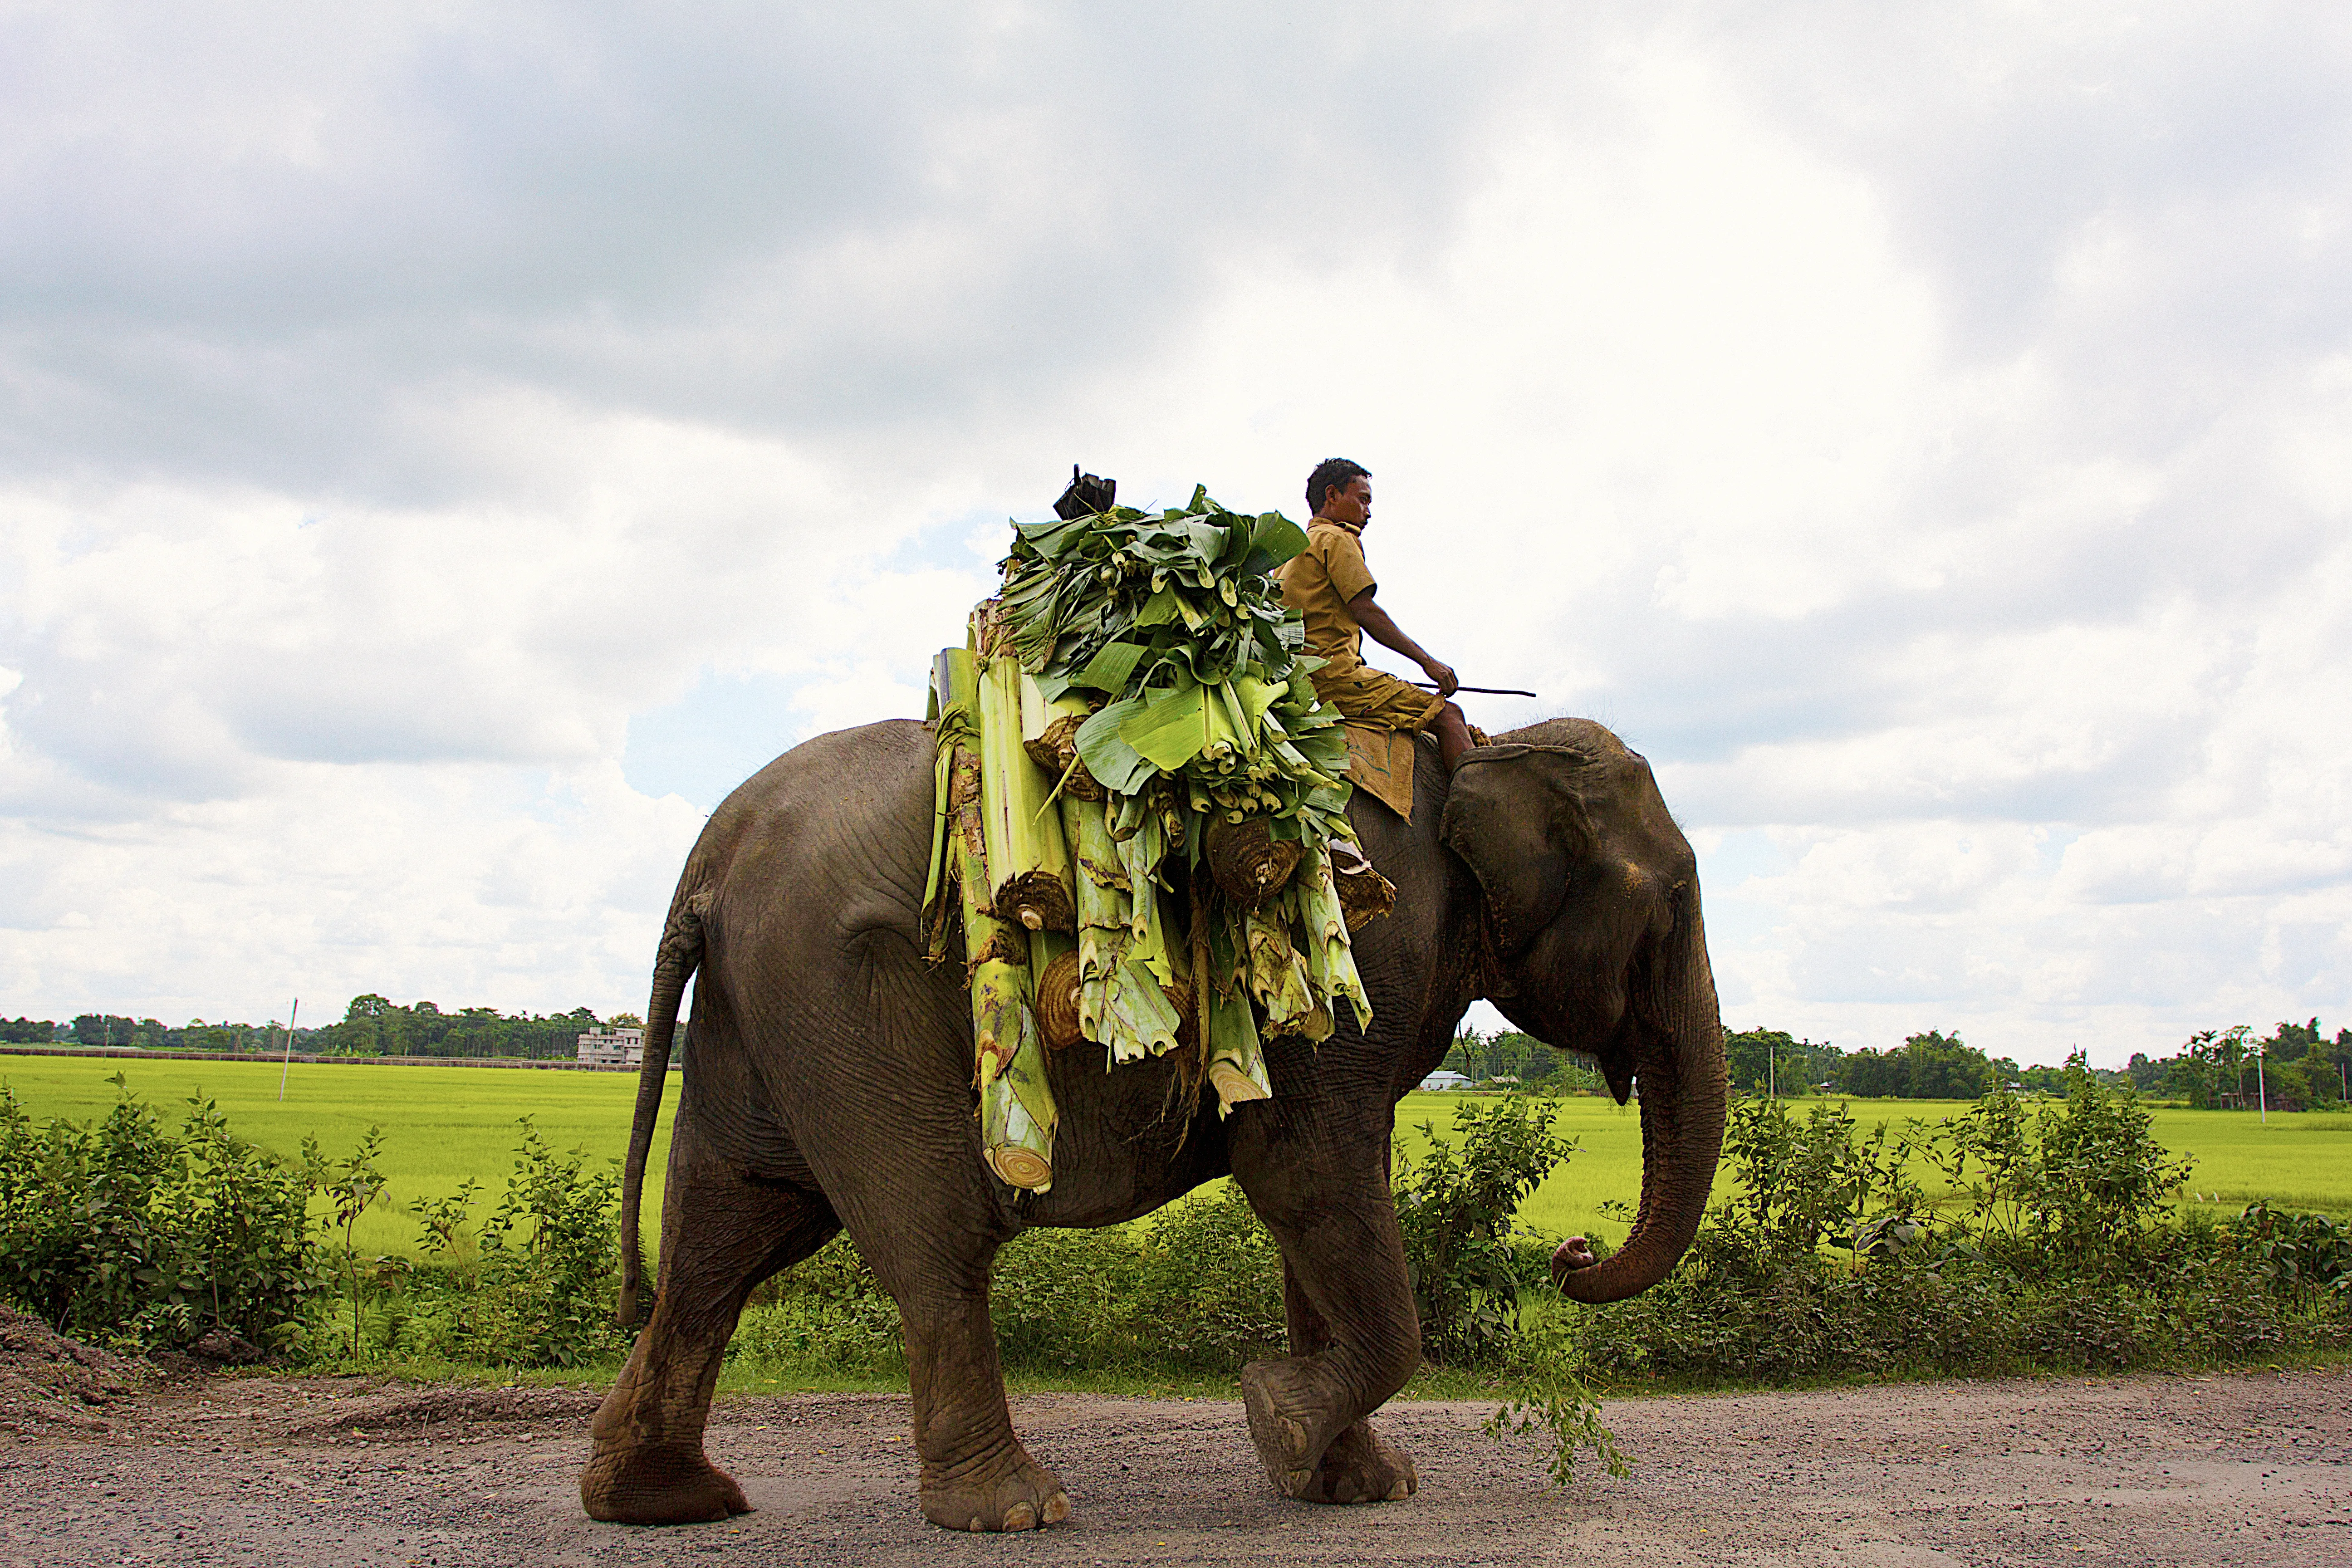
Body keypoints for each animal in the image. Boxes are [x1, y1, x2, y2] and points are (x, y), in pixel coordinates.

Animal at [578, 714, 1728, 1531]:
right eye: (1672, 904)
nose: (1570, 1254)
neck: (1476, 755)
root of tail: (709, 857)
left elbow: (1311, 1207)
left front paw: (1352, 1481)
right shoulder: (1349, 945)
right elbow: (1304, 1168)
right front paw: (1276, 1419)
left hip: (763, 1012)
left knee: (726, 1232)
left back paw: (663, 1502)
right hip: (851, 1002)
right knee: (927, 1237)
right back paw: (1013, 1510)